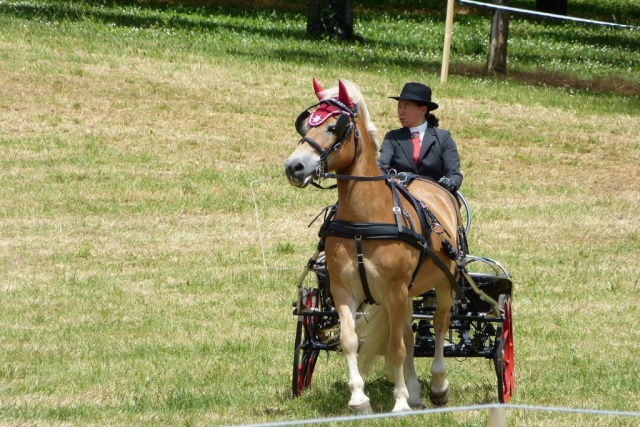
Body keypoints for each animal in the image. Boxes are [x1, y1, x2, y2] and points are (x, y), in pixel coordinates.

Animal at [284, 79, 460, 414]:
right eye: (306, 125)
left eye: (333, 127)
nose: (294, 166)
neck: (363, 222)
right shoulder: (344, 290)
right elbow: (351, 341)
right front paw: (359, 399)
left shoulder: (394, 291)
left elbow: (395, 348)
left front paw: (400, 402)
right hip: (407, 294)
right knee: (408, 334)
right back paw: (415, 390)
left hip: (443, 284)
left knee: (440, 326)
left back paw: (438, 386)